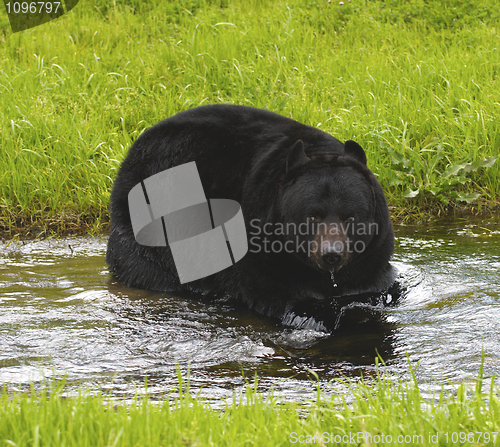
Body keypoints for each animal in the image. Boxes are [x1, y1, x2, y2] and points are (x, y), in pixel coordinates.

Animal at [107, 104, 396, 328]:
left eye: (350, 218)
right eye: (312, 216)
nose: (331, 254)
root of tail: (131, 151)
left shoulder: (372, 255)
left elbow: (374, 285)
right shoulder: (257, 240)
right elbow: (271, 291)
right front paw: (313, 313)